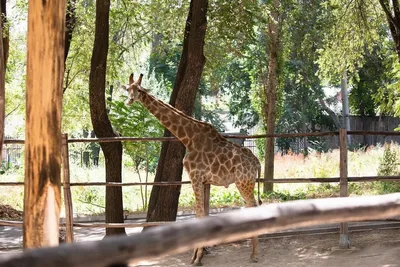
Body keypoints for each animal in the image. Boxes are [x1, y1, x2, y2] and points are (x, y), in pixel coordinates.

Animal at [122, 73, 260, 266]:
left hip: (243, 182)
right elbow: (201, 215)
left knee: (254, 207)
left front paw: (196, 257)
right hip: (247, 183)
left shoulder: (195, 176)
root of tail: (257, 162)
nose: (129, 100)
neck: (187, 138)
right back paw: (253, 252)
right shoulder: (204, 180)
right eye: (128, 89)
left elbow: (199, 216)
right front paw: (199, 255)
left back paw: (254, 255)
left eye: (139, 90)